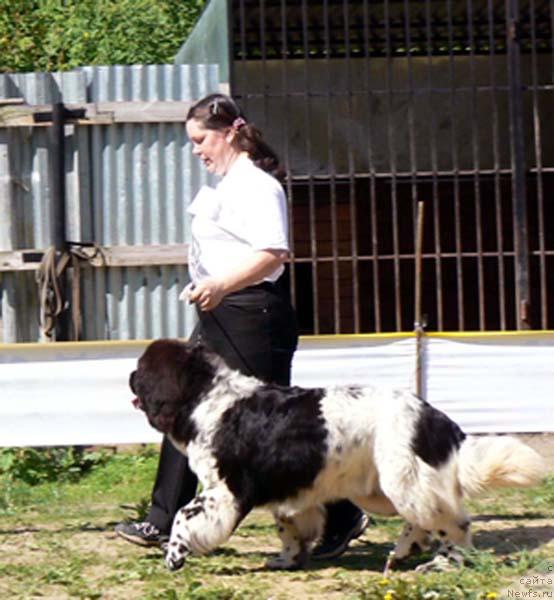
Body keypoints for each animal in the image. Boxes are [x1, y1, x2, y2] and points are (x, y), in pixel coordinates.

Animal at [130, 338, 544, 572]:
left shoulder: (225, 492)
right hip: (382, 488)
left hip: (402, 479)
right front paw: (288, 560)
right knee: (424, 519)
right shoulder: (290, 490)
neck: (207, 398)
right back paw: (404, 550)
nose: (131, 377)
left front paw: (174, 556)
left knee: (453, 523)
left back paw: (444, 562)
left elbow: (183, 516)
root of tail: (435, 417)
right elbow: (289, 527)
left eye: (140, 368)